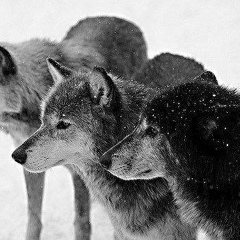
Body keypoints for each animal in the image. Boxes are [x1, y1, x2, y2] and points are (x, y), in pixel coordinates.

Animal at [0, 15, 147, 239]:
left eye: (63, 124)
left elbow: (81, 221)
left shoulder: (78, 174)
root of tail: (118, 18)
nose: (16, 156)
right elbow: (34, 218)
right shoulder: (31, 164)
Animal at [11, 53, 207, 239]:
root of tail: (176, 56)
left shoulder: (178, 233)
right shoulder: (122, 232)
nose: (16, 155)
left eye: (63, 124)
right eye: (42, 121)